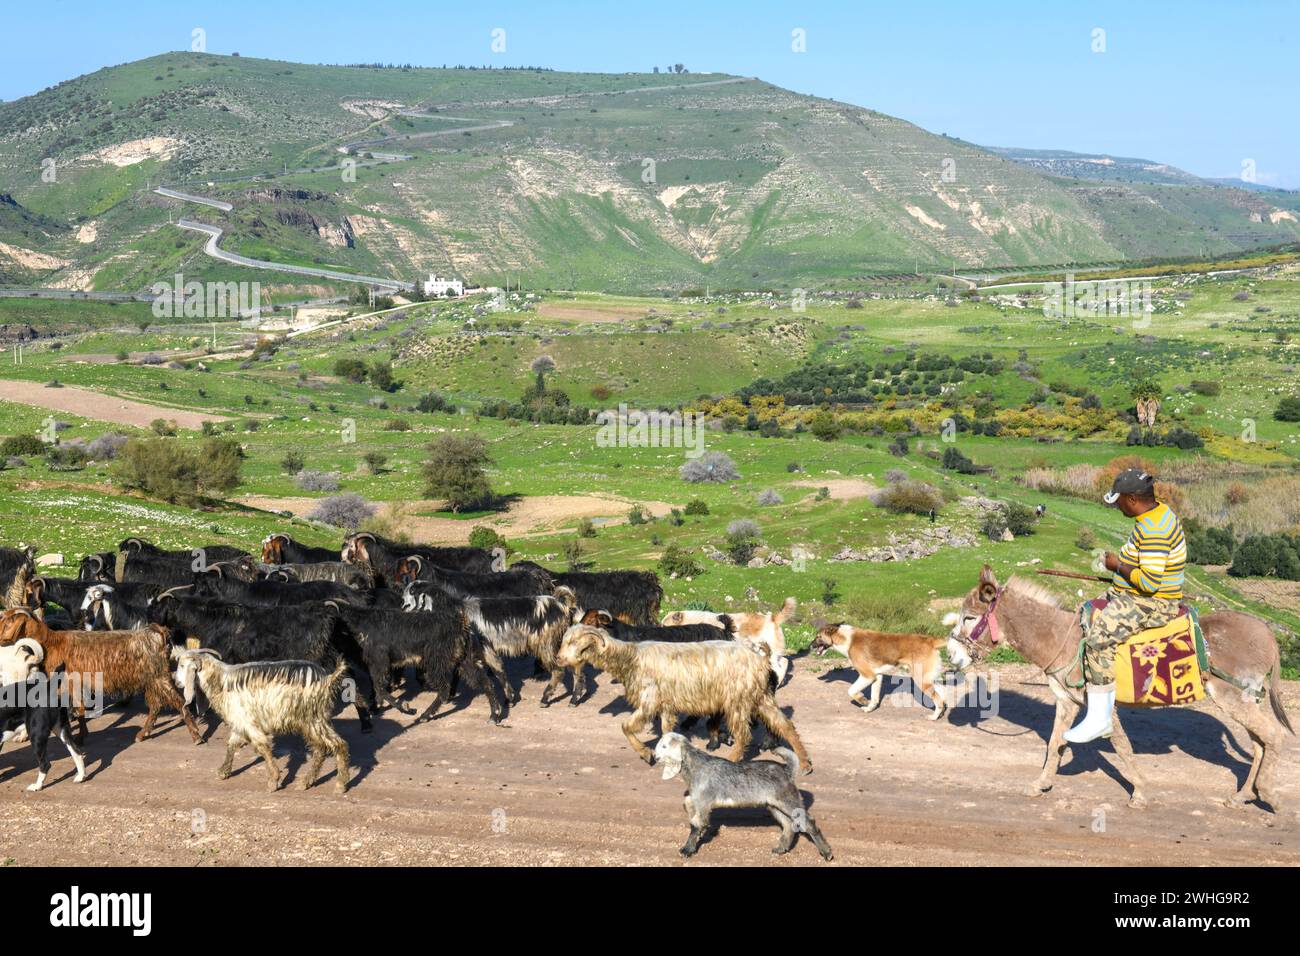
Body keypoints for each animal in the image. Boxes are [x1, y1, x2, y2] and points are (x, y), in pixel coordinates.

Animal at [0, 606, 201, 749]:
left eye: (6, 620)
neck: (51, 643)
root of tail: (157, 633)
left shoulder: (68, 682)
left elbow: (76, 709)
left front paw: (78, 738)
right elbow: (80, 710)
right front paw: (81, 735)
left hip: (158, 676)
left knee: (178, 702)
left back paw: (196, 736)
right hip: (152, 679)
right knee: (156, 706)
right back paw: (143, 734)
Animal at [171, 647, 351, 796]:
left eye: (182, 665)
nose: (176, 681)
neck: (221, 681)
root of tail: (328, 678)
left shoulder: (248, 722)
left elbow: (263, 747)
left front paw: (273, 781)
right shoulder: (240, 721)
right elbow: (232, 744)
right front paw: (224, 771)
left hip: (312, 719)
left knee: (336, 744)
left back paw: (340, 785)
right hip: (316, 720)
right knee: (324, 748)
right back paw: (307, 782)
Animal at [556, 629, 811, 780]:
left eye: (574, 641)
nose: (558, 658)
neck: (631, 658)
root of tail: (761, 658)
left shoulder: (650, 700)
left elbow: (626, 727)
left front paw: (646, 754)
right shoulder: (666, 703)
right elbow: (666, 730)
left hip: (737, 700)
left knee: (743, 735)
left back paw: (731, 760)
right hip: (760, 697)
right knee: (785, 725)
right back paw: (805, 762)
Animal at [811, 624, 956, 723]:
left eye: (818, 637)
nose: (810, 646)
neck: (847, 639)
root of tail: (930, 640)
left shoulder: (868, 676)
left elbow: (851, 691)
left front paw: (862, 700)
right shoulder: (877, 676)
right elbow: (874, 698)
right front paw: (869, 708)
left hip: (921, 680)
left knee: (938, 699)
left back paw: (934, 717)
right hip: (929, 679)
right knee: (942, 695)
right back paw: (941, 713)